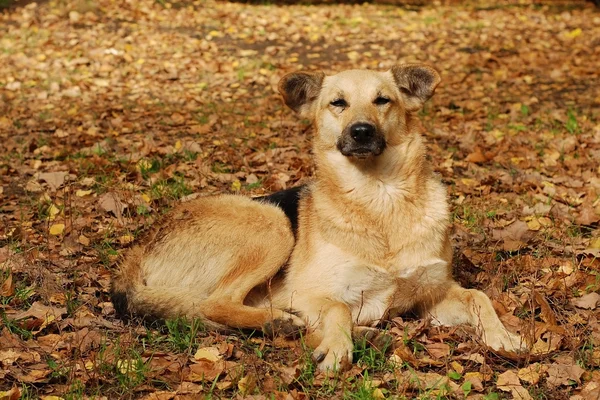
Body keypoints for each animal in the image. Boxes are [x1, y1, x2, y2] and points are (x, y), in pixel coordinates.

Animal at [110, 63, 524, 372]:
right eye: (337, 103)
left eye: (382, 100)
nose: (361, 132)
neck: (380, 198)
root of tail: (135, 254)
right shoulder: (308, 292)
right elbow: (339, 306)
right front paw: (338, 348)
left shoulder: (433, 297)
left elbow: (478, 296)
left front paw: (503, 336)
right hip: (272, 223)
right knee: (215, 303)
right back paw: (283, 323)